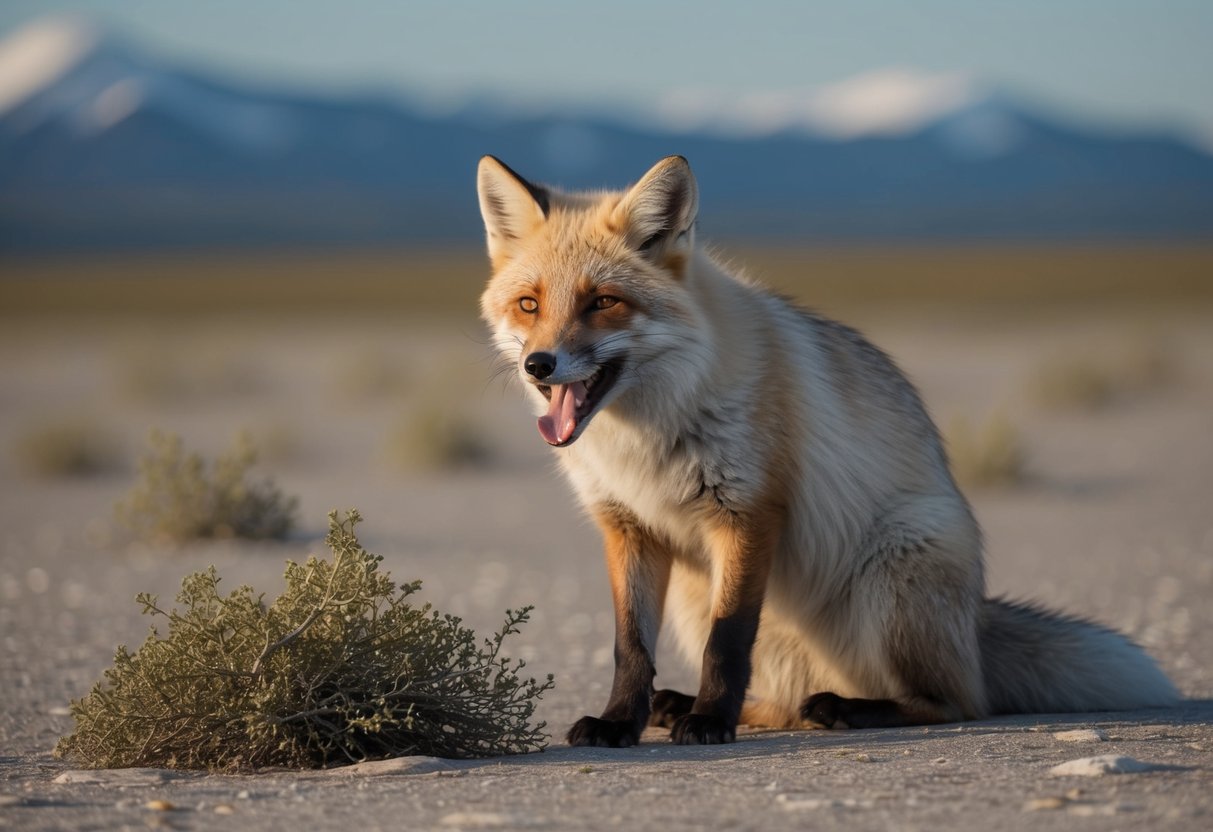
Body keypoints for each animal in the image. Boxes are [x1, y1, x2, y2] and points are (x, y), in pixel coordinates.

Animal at [476, 154, 1179, 747]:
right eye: (529, 304)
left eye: (603, 302)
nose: (540, 365)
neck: (641, 439)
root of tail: (976, 621)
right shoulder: (628, 526)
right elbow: (631, 648)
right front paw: (622, 721)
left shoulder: (749, 512)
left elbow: (727, 644)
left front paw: (710, 723)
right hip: (698, 596)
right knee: (784, 702)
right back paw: (692, 706)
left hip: (894, 574)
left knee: (955, 701)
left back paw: (841, 708)